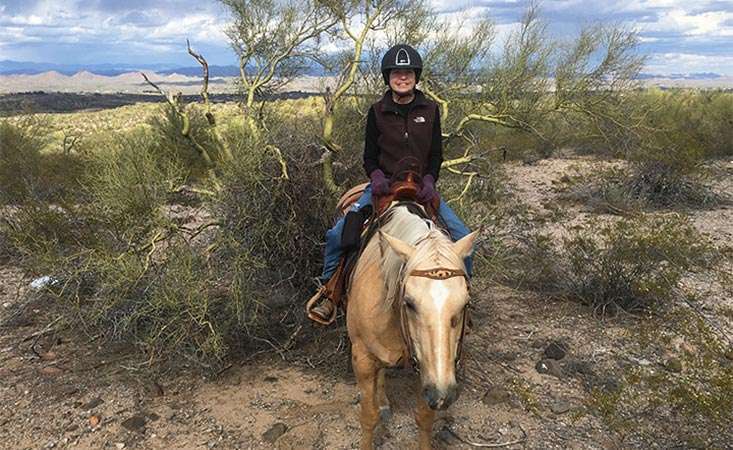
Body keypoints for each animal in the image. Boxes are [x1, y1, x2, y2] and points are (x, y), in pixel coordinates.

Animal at [346, 202, 478, 448]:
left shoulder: (427, 368)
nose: (443, 395)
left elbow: (425, 418)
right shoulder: (362, 359)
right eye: (409, 303)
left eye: (465, 303)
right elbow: (368, 416)